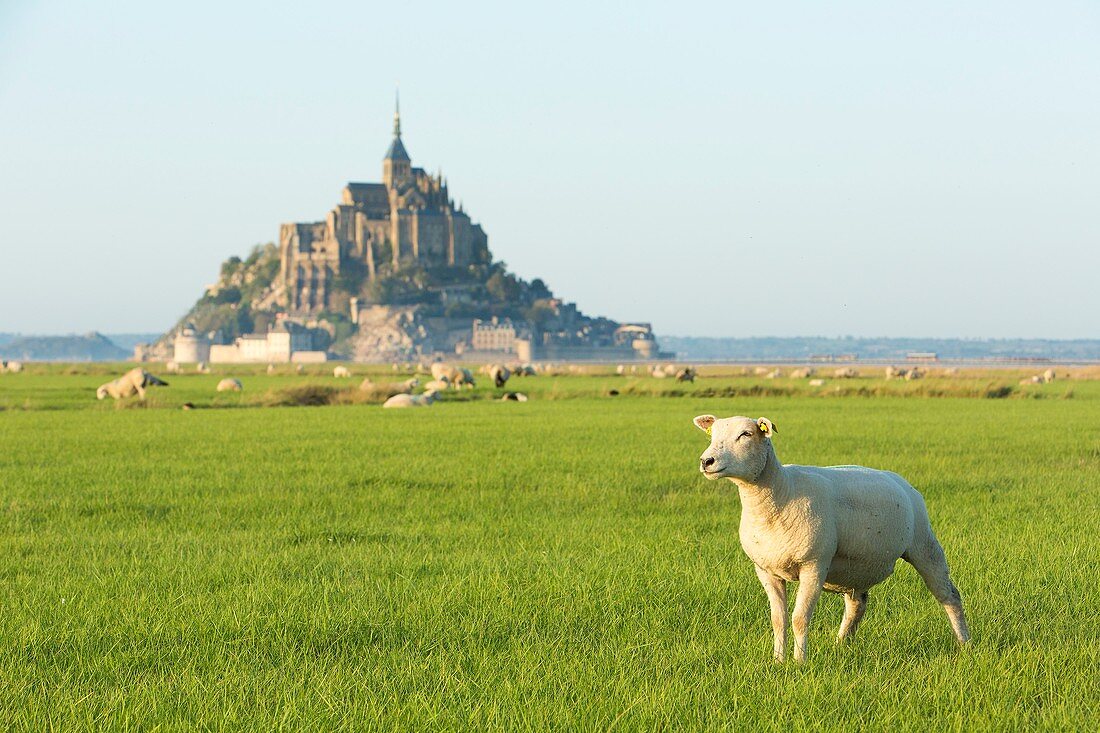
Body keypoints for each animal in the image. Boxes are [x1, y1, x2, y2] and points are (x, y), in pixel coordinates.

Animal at [690, 413, 968, 660]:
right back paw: (840, 645)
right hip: (857, 568)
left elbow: (799, 619)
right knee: (857, 606)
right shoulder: (765, 570)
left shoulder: (814, 565)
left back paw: (965, 644)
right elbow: (778, 620)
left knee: (949, 596)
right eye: (712, 435)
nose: (706, 461)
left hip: (924, 543)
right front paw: (778, 661)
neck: (781, 492)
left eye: (746, 434)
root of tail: (900, 480)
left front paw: (799, 662)